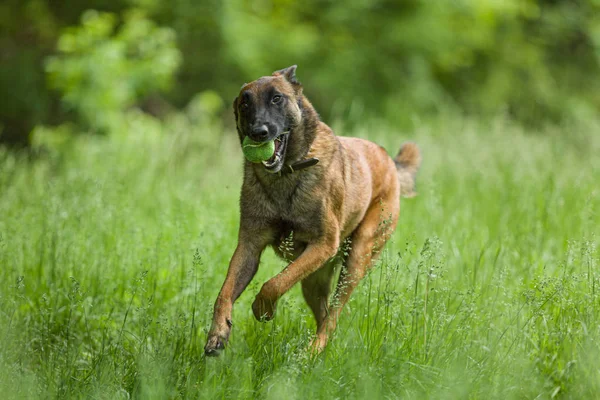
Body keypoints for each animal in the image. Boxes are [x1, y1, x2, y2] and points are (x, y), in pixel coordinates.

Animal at [204, 65, 420, 356]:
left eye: (277, 99)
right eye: (245, 103)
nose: (259, 132)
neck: (285, 174)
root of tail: (389, 160)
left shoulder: (323, 244)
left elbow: (274, 284)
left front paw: (263, 309)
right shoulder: (249, 245)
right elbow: (224, 293)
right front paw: (218, 333)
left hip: (356, 258)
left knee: (334, 315)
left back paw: (313, 350)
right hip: (314, 280)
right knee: (325, 314)